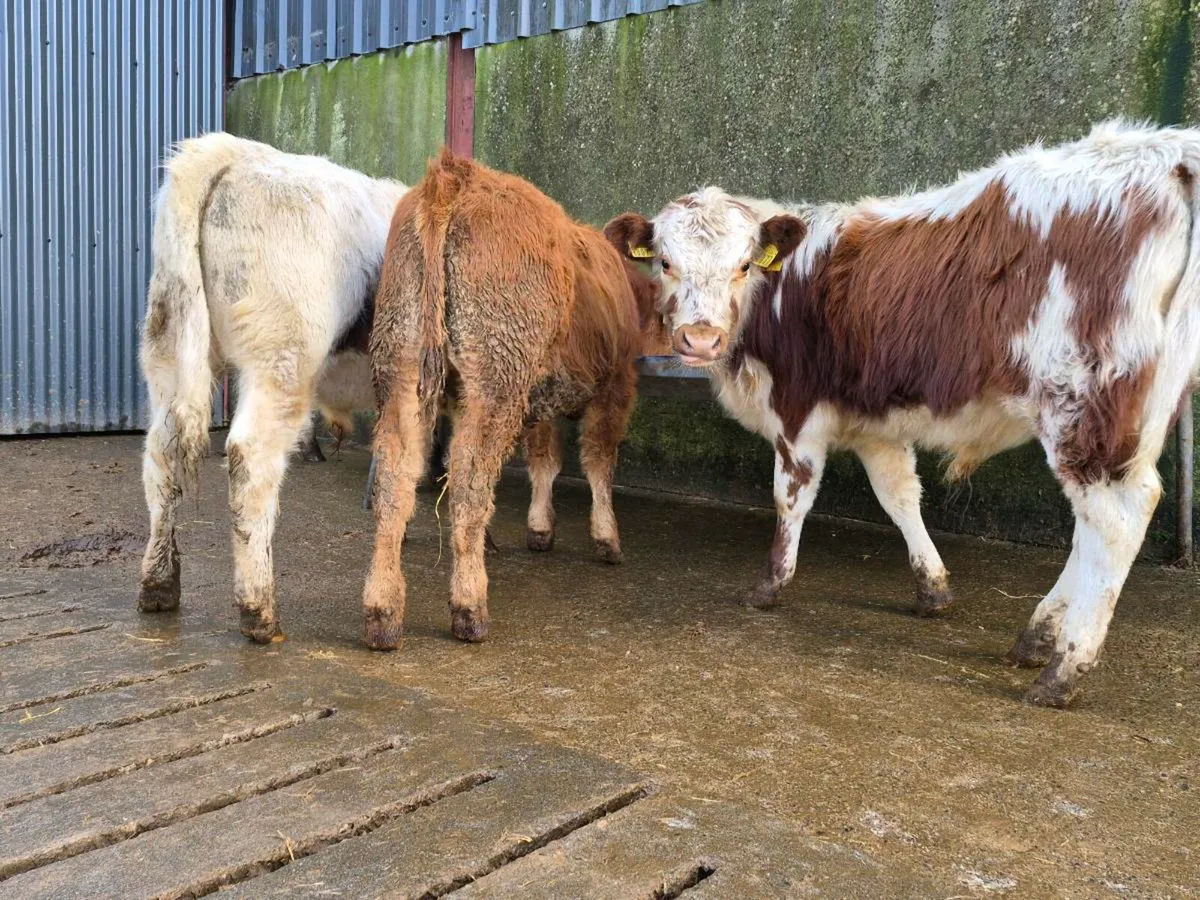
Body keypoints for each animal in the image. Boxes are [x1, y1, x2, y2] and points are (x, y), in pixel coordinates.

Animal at [137, 133, 407, 643]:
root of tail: (230, 153)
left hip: (168, 350)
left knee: (161, 457)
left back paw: (158, 585)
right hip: (281, 362)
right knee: (251, 461)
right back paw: (260, 612)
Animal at [361, 149, 662, 650]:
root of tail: (457, 177)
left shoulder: (538, 398)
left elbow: (544, 460)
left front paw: (540, 528)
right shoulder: (615, 387)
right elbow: (599, 462)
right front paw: (607, 538)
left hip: (402, 366)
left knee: (394, 477)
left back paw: (382, 613)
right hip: (497, 377)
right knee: (468, 477)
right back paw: (469, 607)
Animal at [607, 120, 1200, 707]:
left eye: (744, 264)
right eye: (666, 262)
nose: (700, 338)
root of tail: (1164, 153)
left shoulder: (797, 413)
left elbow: (791, 497)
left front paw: (770, 584)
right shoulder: (875, 421)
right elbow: (899, 495)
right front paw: (932, 589)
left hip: (1084, 400)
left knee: (1117, 520)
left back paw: (1063, 669)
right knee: (1094, 525)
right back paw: (1036, 636)